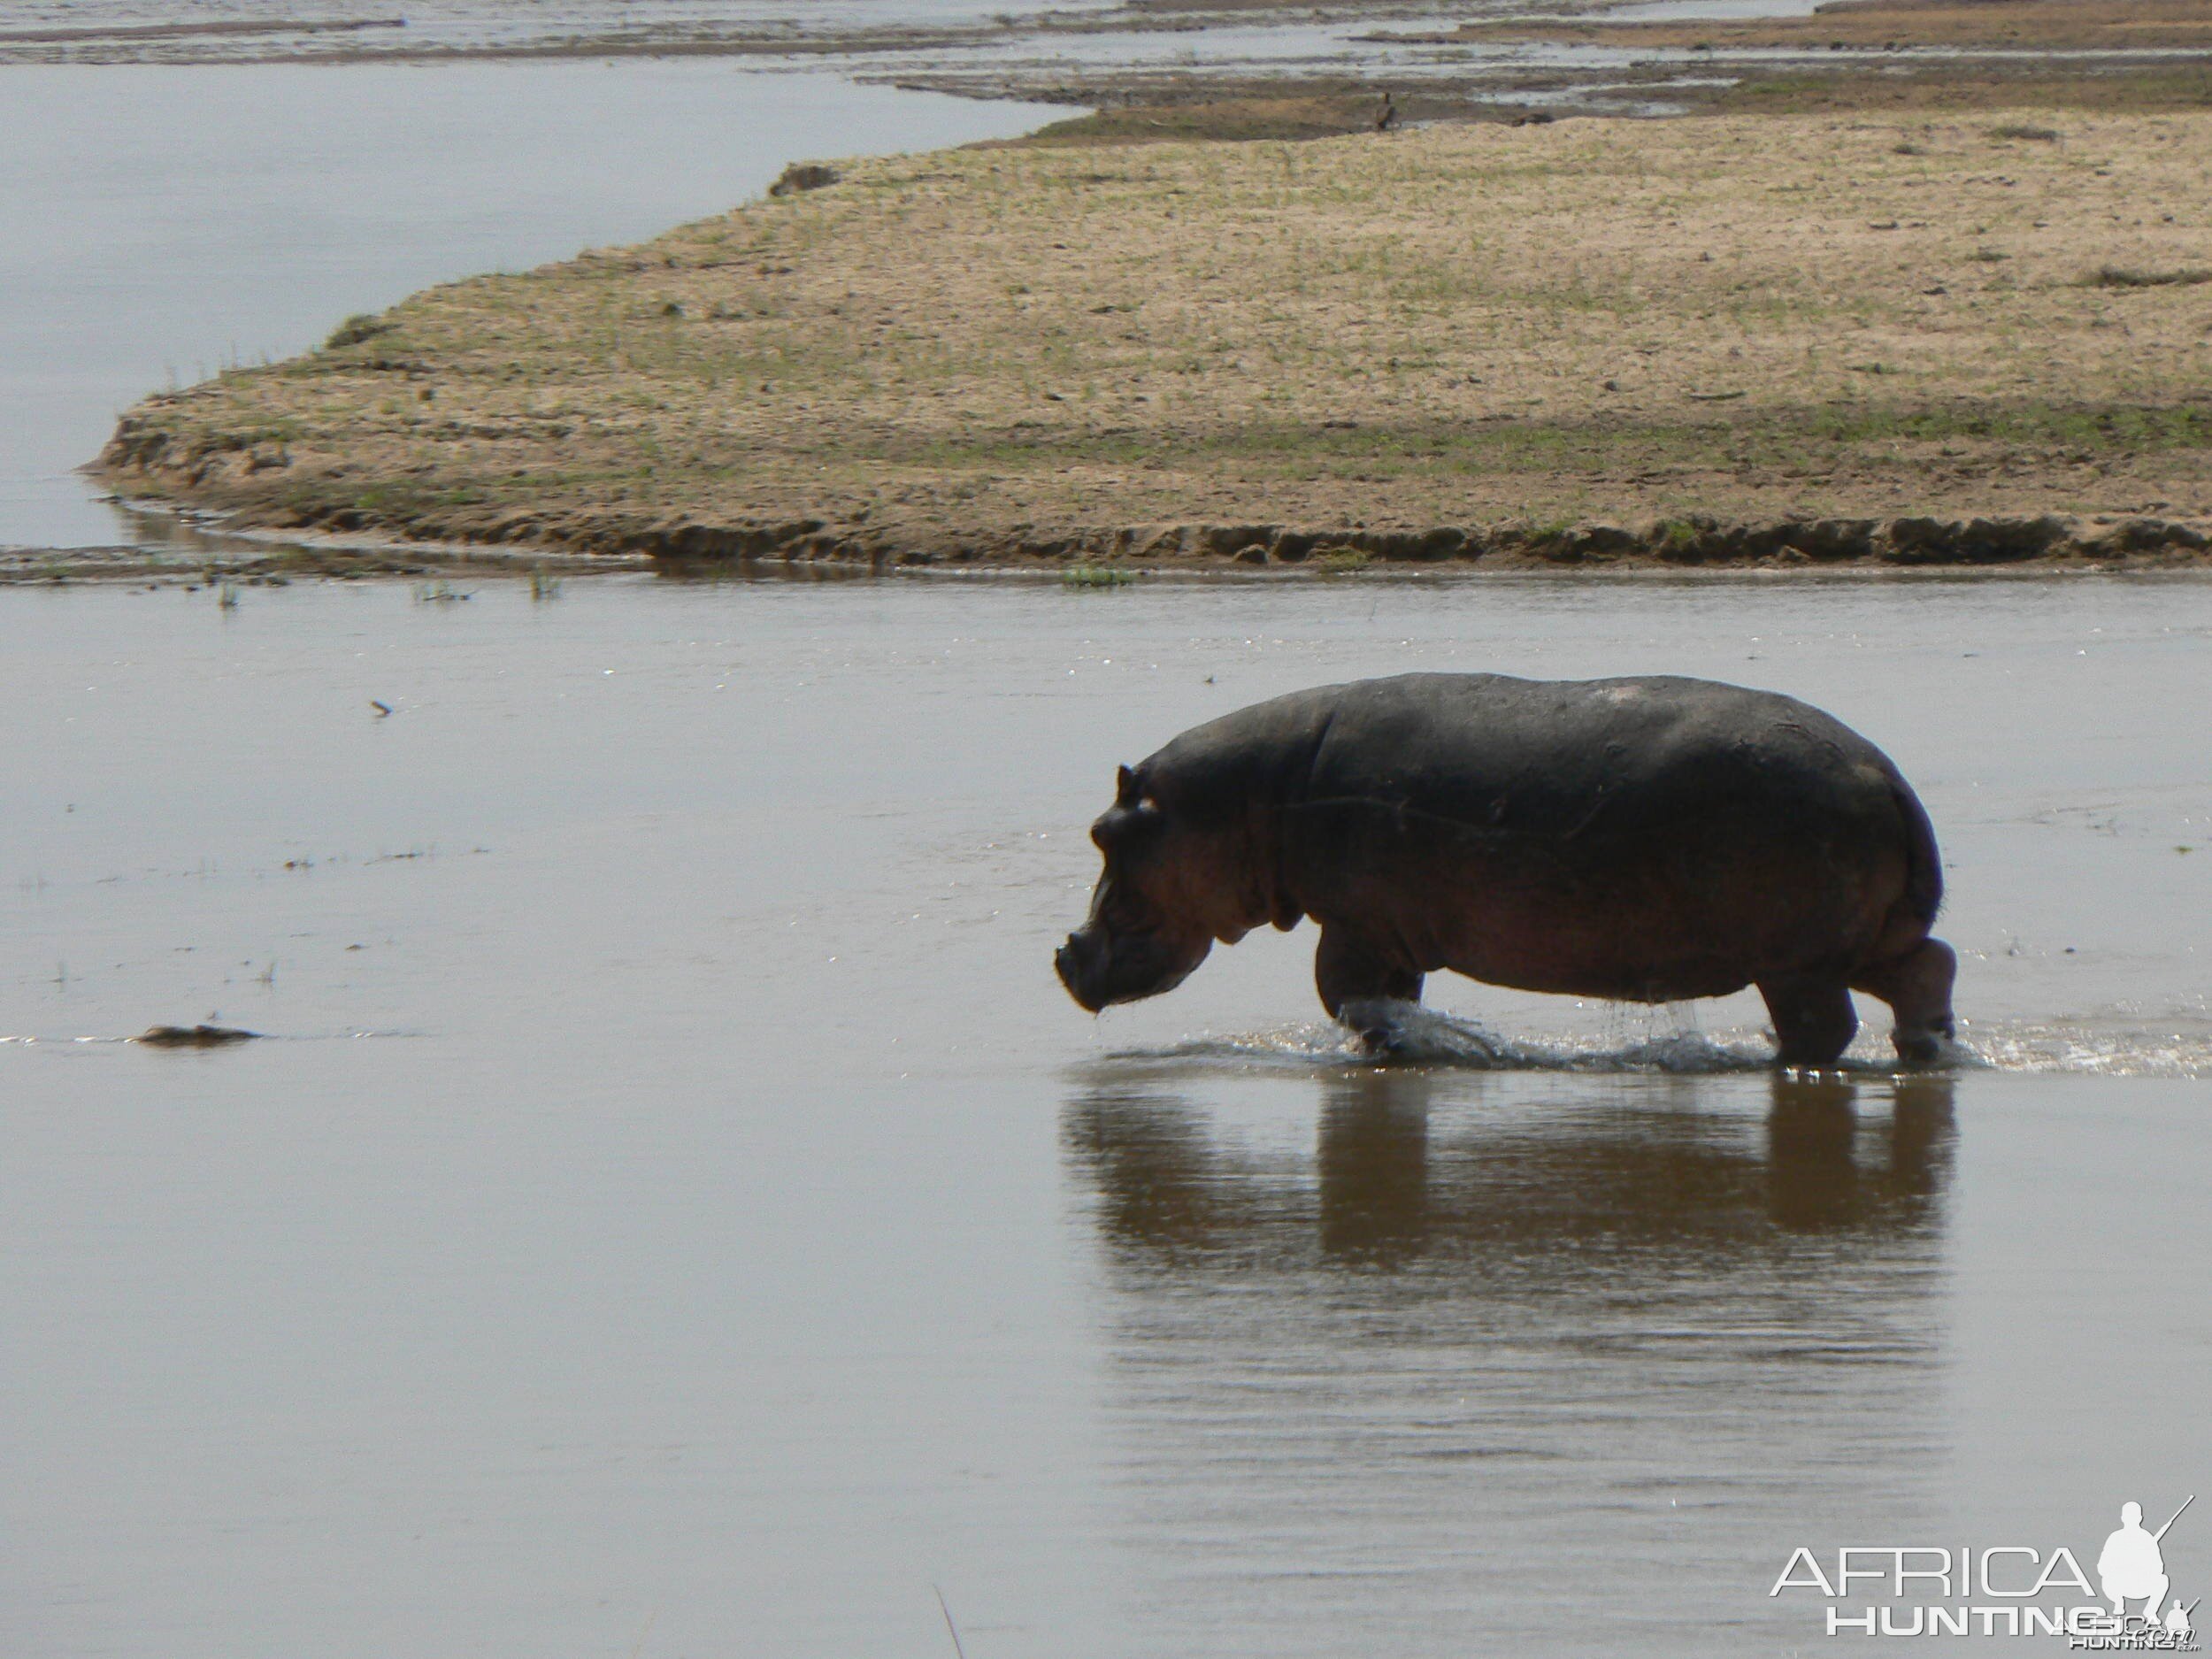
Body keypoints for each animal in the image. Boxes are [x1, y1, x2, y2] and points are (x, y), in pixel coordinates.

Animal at [1062, 672, 1964, 1071]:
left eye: (1104, 834)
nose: (1064, 954)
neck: (1252, 797)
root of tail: (1882, 774)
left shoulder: (1353, 924)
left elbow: (1343, 995)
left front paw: (1395, 1046)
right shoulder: (1388, 932)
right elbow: (1385, 996)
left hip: (1795, 960)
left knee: (1827, 1027)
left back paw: (1779, 1060)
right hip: (1856, 943)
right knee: (1929, 970)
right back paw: (1921, 1048)